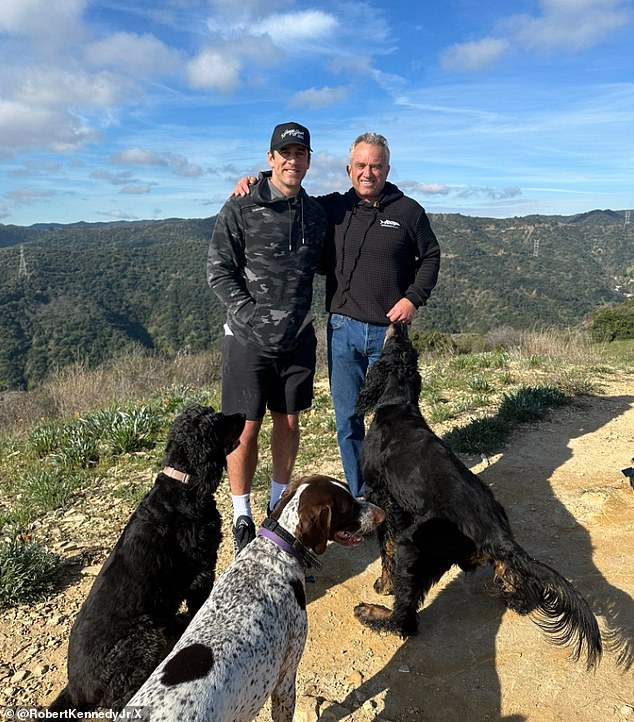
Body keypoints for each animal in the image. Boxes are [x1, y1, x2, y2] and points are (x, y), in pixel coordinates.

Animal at [49, 402, 246, 712]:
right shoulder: (200, 572)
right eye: (216, 421)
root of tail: (75, 689)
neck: (182, 485)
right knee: (117, 698)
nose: (243, 415)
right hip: (142, 638)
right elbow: (199, 604)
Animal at [354, 324, 600, 668]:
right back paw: (511, 592)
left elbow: (385, 548)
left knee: (405, 621)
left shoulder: (380, 496)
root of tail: (496, 534)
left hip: (416, 547)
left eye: (395, 343)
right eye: (409, 346)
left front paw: (383, 583)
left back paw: (372, 613)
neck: (399, 405)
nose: (400, 323)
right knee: (521, 584)